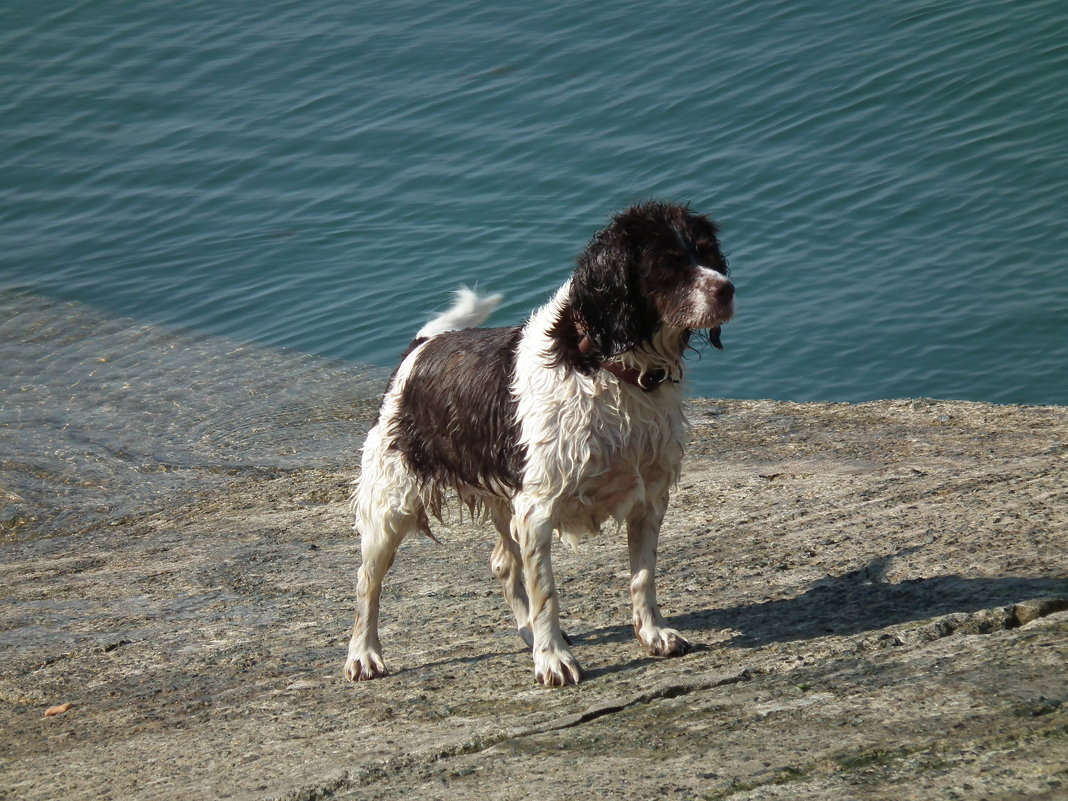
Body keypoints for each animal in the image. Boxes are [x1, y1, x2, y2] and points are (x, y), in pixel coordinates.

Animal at [346, 203, 730, 687]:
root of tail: (419, 348)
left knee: (502, 563)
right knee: (367, 583)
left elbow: (643, 576)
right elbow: (546, 590)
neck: (610, 369)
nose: (727, 289)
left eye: (707, 253)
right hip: (389, 507)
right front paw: (553, 660)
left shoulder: (648, 499)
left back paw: (527, 632)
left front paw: (653, 633)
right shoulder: (537, 509)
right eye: (666, 263)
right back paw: (363, 654)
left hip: (500, 501)